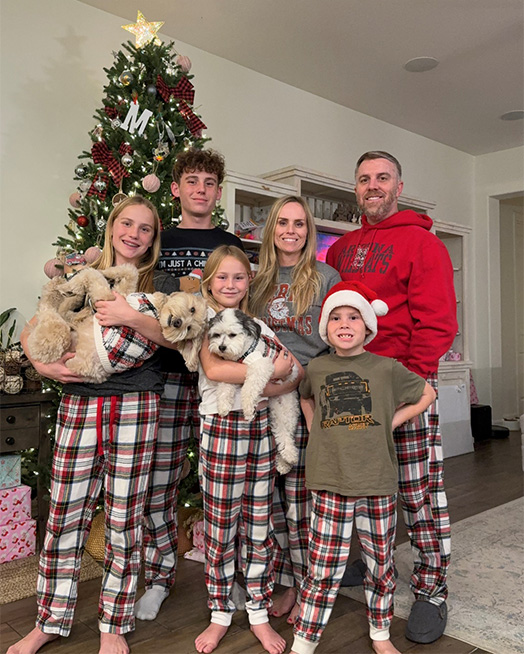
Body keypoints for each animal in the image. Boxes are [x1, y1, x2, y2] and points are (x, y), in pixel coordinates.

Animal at [208, 310, 298, 474]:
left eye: (232, 335)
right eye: (217, 334)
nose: (222, 347)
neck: (244, 352)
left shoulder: (261, 365)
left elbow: (249, 389)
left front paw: (249, 410)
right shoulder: (230, 373)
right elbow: (224, 388)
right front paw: (223, 406)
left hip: (288, 409)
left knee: (288, 435)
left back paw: (289, 458)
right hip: (276, 412)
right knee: (282, 433)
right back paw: (284, 463)